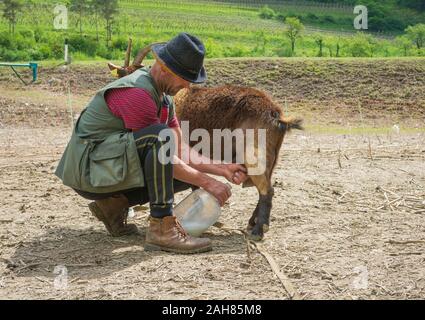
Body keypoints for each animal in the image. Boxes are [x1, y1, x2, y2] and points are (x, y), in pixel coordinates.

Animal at [174, 85, 304, 240]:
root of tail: (275, 115)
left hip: (254, 155)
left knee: (267, 190)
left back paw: (259, 229)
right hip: (271, 158)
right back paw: (253, 223)